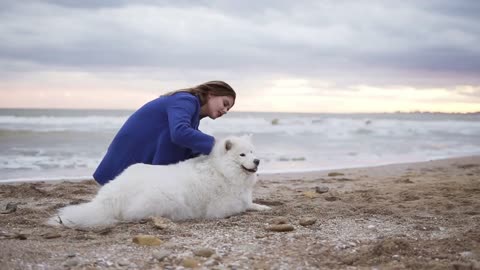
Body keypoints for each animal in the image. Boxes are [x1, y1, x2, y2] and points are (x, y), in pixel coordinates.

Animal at [51, 135, 274, 228]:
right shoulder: (222, 208)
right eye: (242, 154)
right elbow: (244, 206)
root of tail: (112, 195)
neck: (223, 171)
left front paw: (264, 207)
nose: (257, 161)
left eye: (252, 152)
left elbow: (252, 203)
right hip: (165, 197)